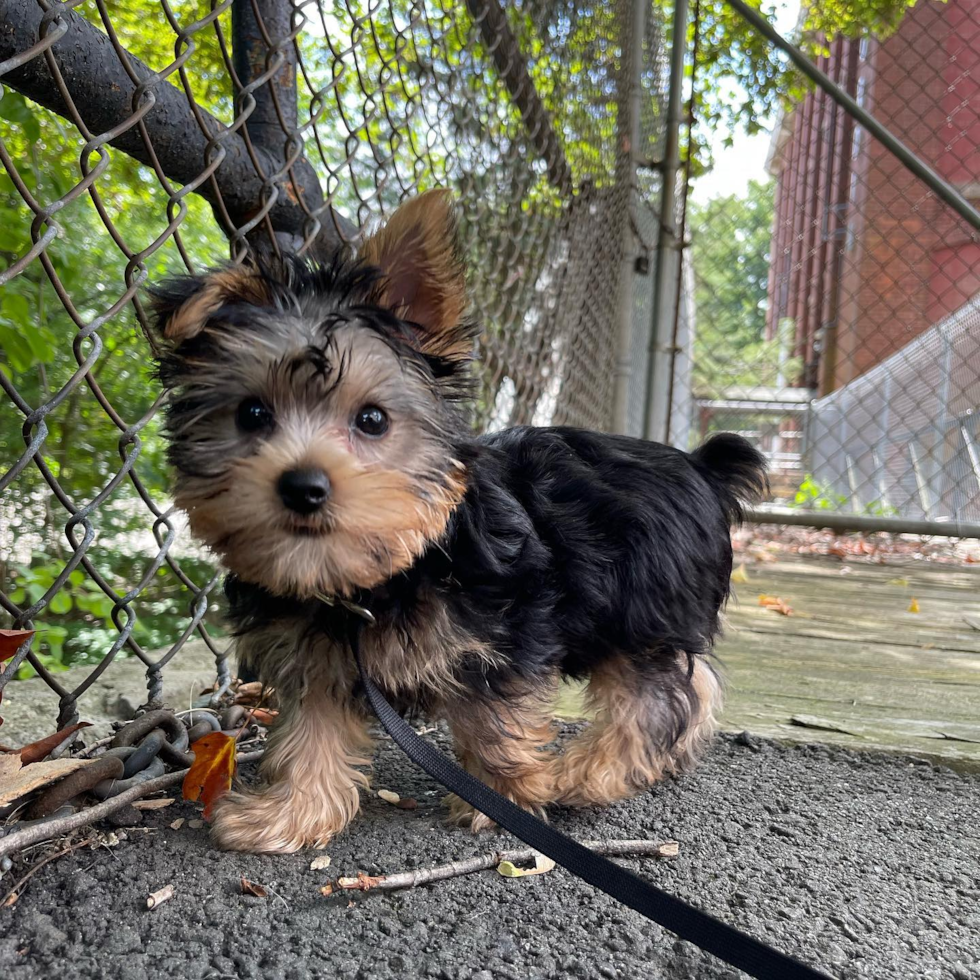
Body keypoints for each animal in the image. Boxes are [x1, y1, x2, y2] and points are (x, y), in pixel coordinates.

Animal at [151, 189, 764, 848]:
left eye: (372, 420)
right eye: (252, 413)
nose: (303, 487)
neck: (377, 576)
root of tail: (700, 466)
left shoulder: (501, 632)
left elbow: (495, 721)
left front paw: (504, 797)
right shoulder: (316, 651)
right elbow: (311, 729)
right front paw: (290, 812)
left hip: (641, 602)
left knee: (650, 695)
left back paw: (588, 774)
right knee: (688, 685)